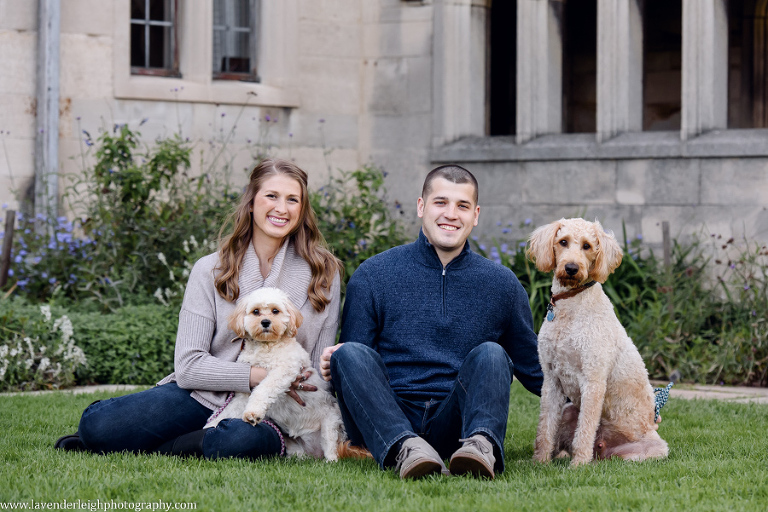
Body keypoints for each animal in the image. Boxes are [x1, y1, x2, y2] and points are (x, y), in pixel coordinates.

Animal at [206, 288, 346, 460]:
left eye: (275, 311)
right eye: (256, 311)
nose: (265, 322)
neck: (266, 346)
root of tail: (314, 454)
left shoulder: (284, 370)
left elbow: (263, 389)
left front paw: (253, 413)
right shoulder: (244, 393)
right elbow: (228, 410)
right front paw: (210, 425)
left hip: (331, 423)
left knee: (331, 448)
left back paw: (330, 460)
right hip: (294, 449)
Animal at [524, 218, 668, 466]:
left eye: (587, 246)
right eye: (563, 242)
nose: (571, 268)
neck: (572, 303)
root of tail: (603, 449)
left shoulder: (593, 380)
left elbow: (585, 430)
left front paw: (579, 465)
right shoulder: (551, 380)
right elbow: (545, 429)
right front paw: (539, 461)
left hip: (653, 450)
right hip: (568, 410)